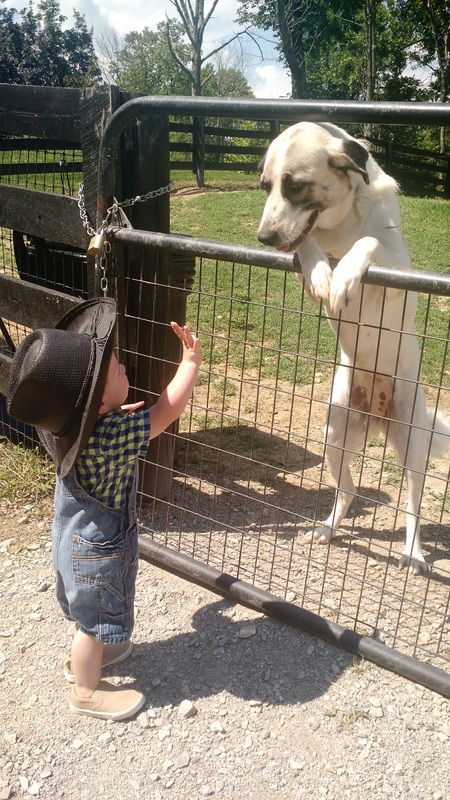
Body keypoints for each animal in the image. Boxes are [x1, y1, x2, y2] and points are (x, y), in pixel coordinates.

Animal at [258, 121, 450, 574]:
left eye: (294, 186)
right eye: (265, 187)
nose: (263, 237)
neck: (341, 223)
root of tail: (377, 415)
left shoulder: (401, 275)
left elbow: (369, 245)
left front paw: (344, 274)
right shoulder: (303, 246)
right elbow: (306, 245)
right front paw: (321, 272)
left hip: (412, 444)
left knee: (413, 508)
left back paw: (414, 553)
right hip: (334, 436)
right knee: (347, 492)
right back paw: (328, 529)